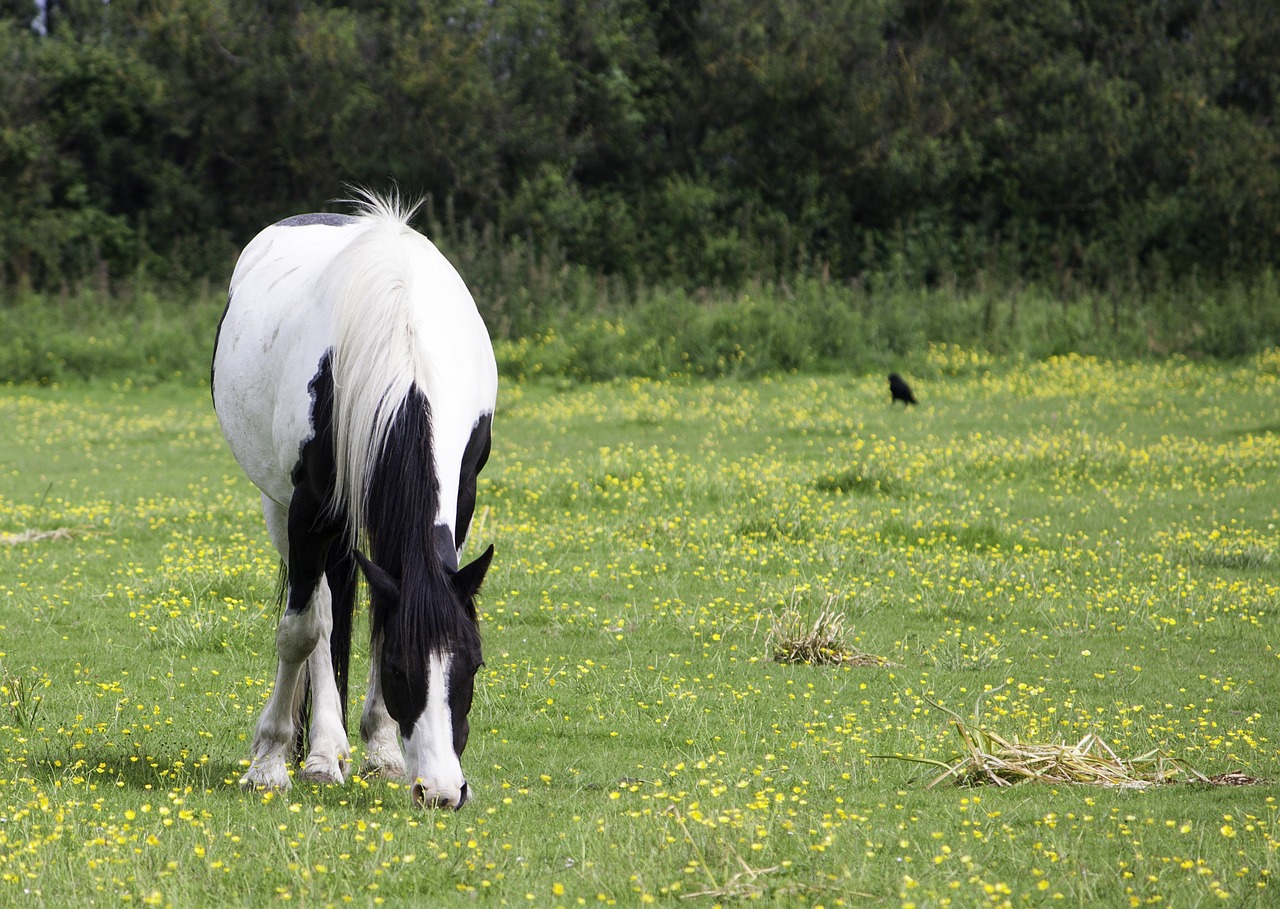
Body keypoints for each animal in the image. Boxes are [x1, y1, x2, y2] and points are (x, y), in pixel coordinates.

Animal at [209, 192, 494, 814]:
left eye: (474, 663)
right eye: (399, 670)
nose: (443, 792)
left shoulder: (462, 498)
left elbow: (376, 618)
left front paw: (383, 750)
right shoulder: (308, 509)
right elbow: (302, 631)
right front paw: (271, 763)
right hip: (281, 507)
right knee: (317, 614)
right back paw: (319, 752)